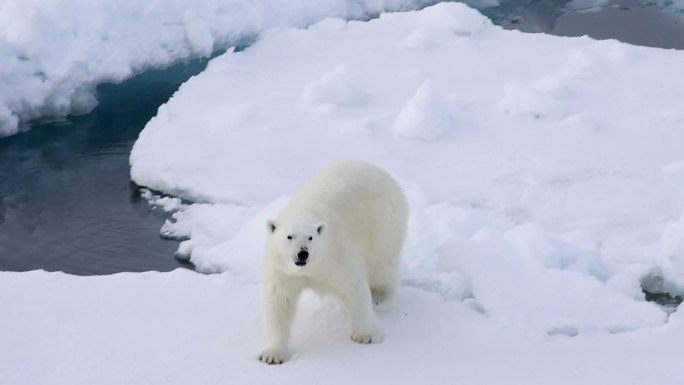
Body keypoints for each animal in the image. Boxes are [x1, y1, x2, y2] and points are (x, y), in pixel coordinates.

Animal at [256, 159, 406, 364]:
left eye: (310, 237)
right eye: (289, 236)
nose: (302, 254)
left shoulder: (335, 254)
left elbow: (354, 287)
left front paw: (365, 335)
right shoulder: (281, 268)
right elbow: (280, 300)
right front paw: (272, 355)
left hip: (384, 222)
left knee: (382, 265)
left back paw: (379, 296)